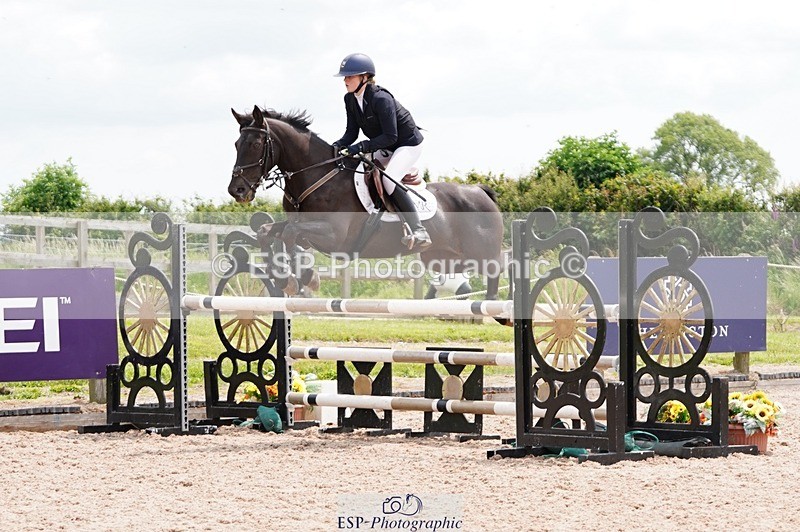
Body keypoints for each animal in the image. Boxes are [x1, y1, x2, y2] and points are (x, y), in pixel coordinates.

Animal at [228, 105, 505, 300]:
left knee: (498, 269)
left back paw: (495, 308)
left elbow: (291, 234)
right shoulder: (301, 226)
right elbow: (269, 232)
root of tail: (479, 191)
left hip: (481, 254)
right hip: (444, 258)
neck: (317, 174)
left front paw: (304, 277)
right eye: (236, 144)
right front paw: (287, 278)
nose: (236, 190)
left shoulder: (334, 236)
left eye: (255, 144)